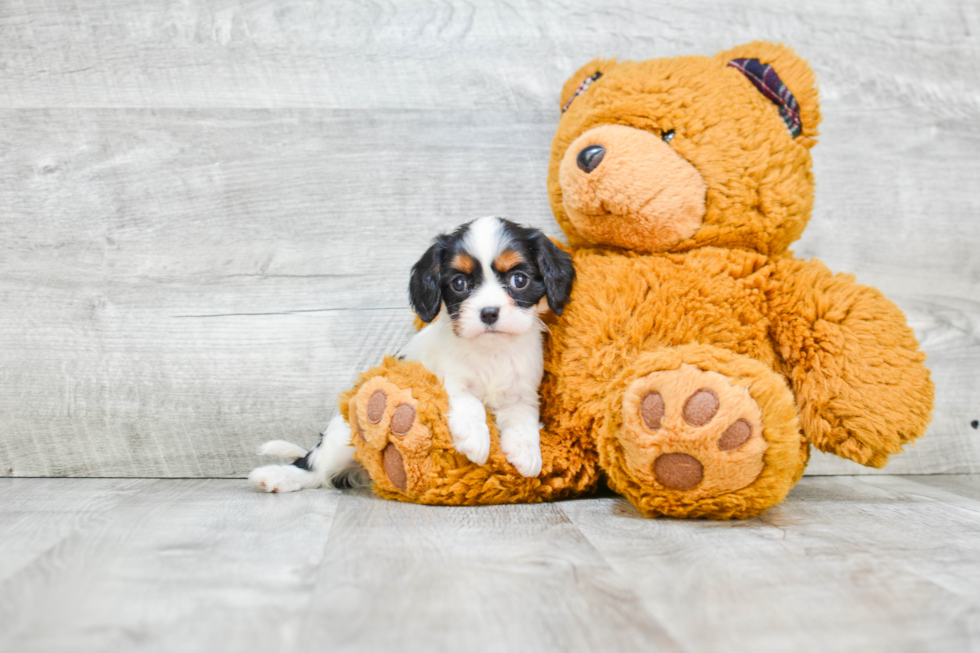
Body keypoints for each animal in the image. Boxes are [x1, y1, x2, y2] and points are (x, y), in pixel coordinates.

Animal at [249, 216, 580, 492]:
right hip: (342, 439)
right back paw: (277, 476)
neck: (490, 352)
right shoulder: (445, 380)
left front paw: (526, 452)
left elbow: (523, 419)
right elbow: (468, 401)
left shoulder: (522, 394)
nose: (488, 312)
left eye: (519, 280)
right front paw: (475, 437)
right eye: (460, 283)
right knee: (314, 469)